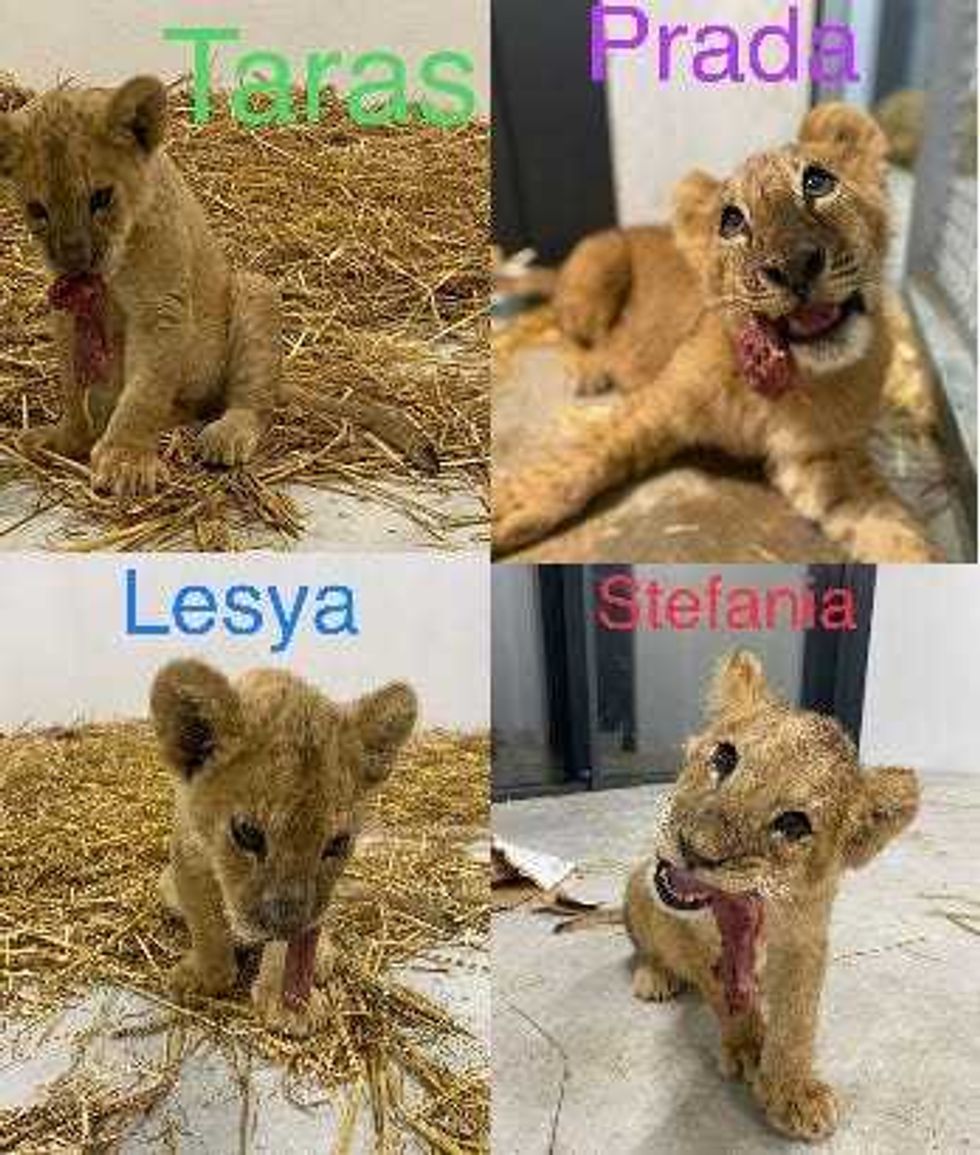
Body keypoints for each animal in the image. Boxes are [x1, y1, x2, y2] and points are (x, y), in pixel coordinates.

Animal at [0, 76, 436, 498]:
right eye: (37, 210)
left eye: (101, 198)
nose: (74, 261)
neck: (108, 278)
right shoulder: (68, 313)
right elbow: (72, 387)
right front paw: (65, 440)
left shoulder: (163, 310)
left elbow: (144, 393)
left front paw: (126, 459)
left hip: (253, 294)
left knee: (252, 401)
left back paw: (225, 434)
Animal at [151, 658, 417, 1036]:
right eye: (247, 833)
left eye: (337, 843)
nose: (287, 923)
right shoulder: (188, 854)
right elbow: (206, 923)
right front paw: (204, 978)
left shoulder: (311, 906)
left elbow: (289, 943)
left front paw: (284, 1002)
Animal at [493, 104, 936, 562]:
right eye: (731, 221)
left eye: (818, 182)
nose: (794, 264)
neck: (786, 378)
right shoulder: (658, 402)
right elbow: (588, 452)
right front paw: (514, 503)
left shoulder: (822, 457)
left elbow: (896, 530)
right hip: (601, 261)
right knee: (564, 326)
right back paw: (588, 368)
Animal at [624, 650, 919, 1141]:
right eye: (724, 756)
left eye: (794, 824)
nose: (693, 850)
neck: (757, 906)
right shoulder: (697, 937)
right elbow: (727, 997)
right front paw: (749, 1047)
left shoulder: (806, 938)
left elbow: (798, 1016)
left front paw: (792, 1089)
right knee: (645, 947)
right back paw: (655, 976)